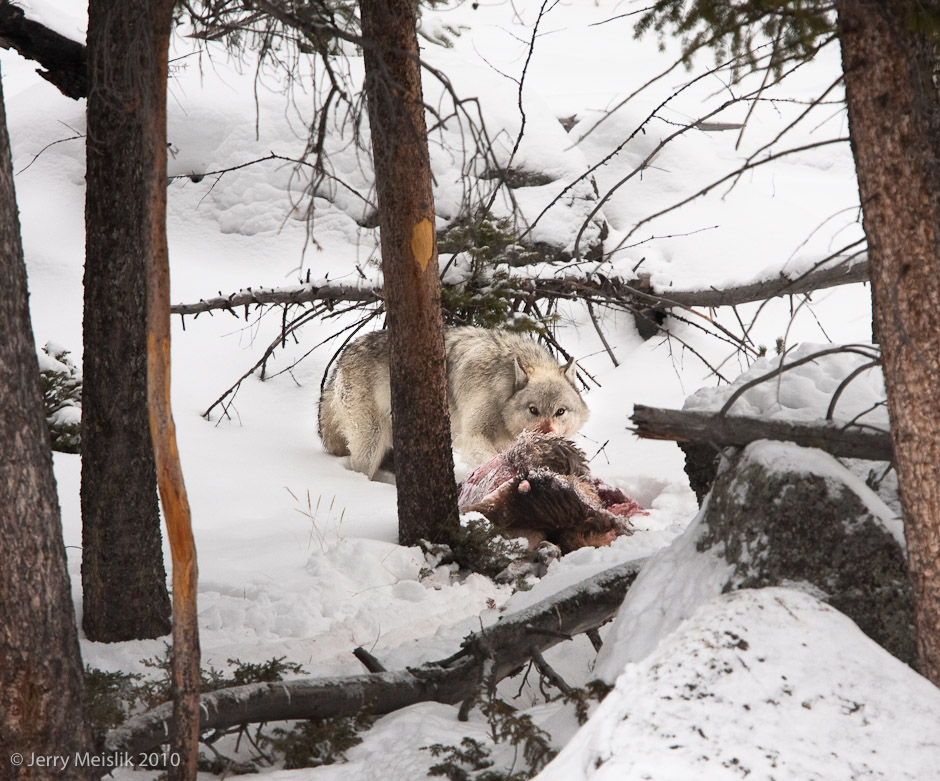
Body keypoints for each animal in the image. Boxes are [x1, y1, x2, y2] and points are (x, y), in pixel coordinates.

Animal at [320, 326, 592, 478]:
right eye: (533, 410)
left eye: (560, 412)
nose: (547, 433)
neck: (502, 393)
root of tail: (342, 359)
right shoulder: (473, 436)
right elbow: (491, 458)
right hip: (372, 440)